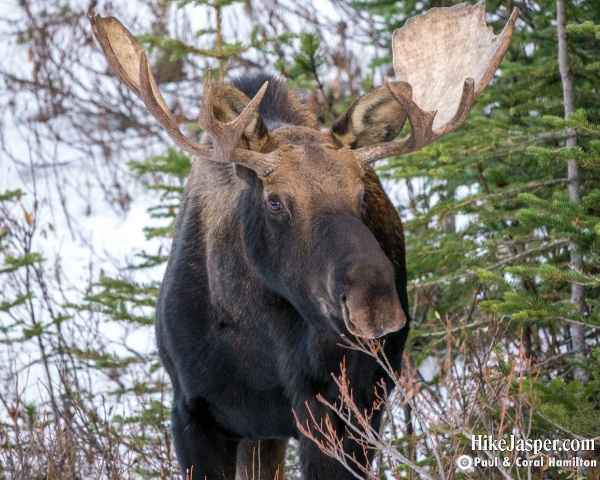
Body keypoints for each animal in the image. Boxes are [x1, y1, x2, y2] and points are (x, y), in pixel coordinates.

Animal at [88, 4, 516, 480]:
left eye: (362, 193)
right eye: (275, 201)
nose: (374, 303)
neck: (260, 337)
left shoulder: (338, 415)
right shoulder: (192, 413)